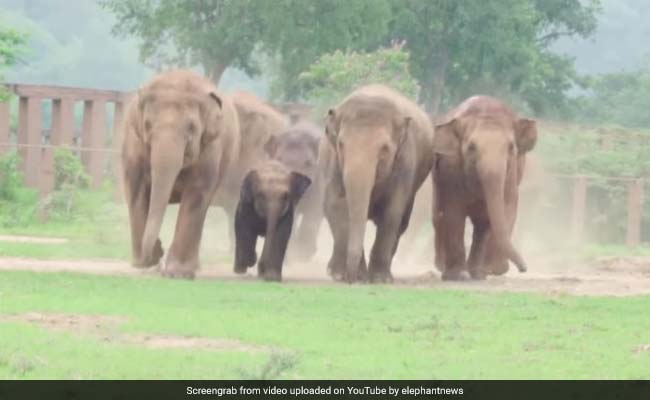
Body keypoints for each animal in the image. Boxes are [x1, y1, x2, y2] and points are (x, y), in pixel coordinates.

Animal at [121, 69, 240, 279]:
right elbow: (136, 189)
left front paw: (178, 274)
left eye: (191, 128)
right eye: (147, 125)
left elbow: (196, 194)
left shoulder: (211, 148)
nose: (158, 257)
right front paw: (144, 263)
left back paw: (194, 268)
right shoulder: (133, 142)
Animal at [322, 84, 435, 283]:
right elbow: (335, 205)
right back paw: (333, 270)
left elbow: (392, 212)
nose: (351, 279)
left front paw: (379, 279)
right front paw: (342, 275)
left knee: (402, 222)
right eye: (341, 145)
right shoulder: (334, 161)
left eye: (384, 149)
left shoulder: (405, 161)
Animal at [432, 95, 537, 280]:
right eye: (471, 148)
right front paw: (458, 276)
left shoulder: (511, 174)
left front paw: (483, 273)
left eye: (511, 147)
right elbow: (454, 213)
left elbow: (496, 214)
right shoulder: (451, 168)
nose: (524, 268)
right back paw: (444, 268)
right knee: (439, 216)